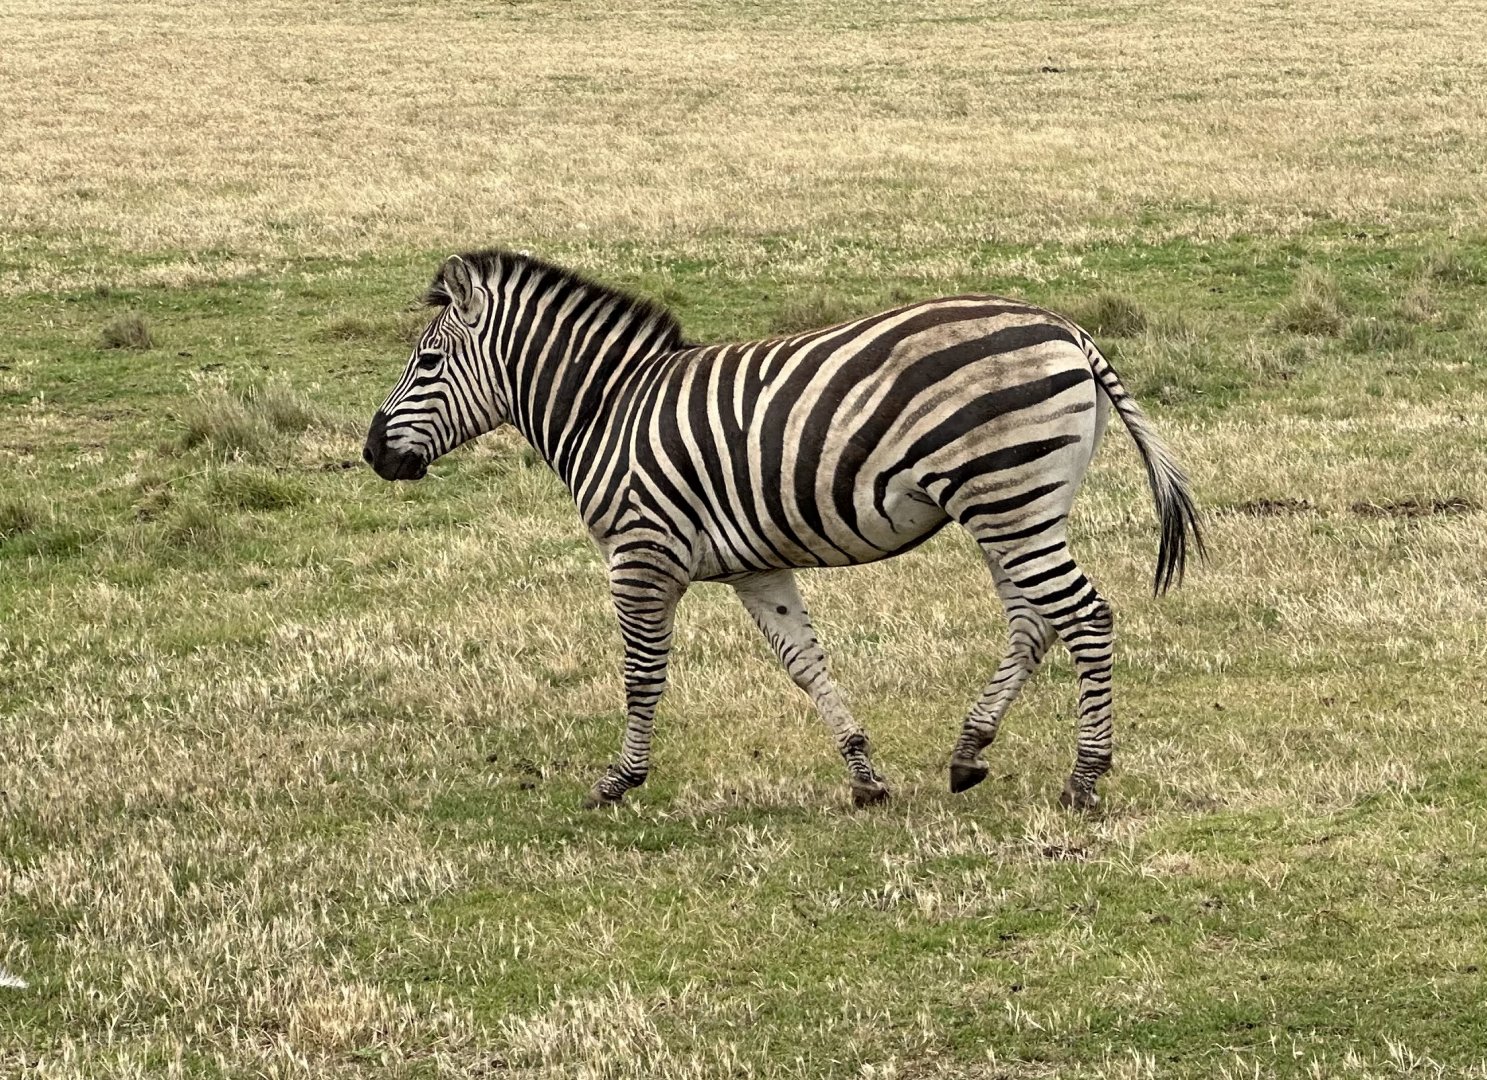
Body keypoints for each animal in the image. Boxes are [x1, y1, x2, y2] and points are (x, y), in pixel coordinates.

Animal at [363, 249, 1203, 811]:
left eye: (427, 361)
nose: (372, 453)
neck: (607, 411)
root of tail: (1066, 329)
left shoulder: (640, 555)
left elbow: (641, 675)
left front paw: (619, 780)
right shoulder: (754, 566)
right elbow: (803, 662)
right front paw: (864, 776)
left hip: (1006, 497)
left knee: (1085, 616)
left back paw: (1083, 777)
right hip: (1015, 507)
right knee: (1034, 623)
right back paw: (967, 753)